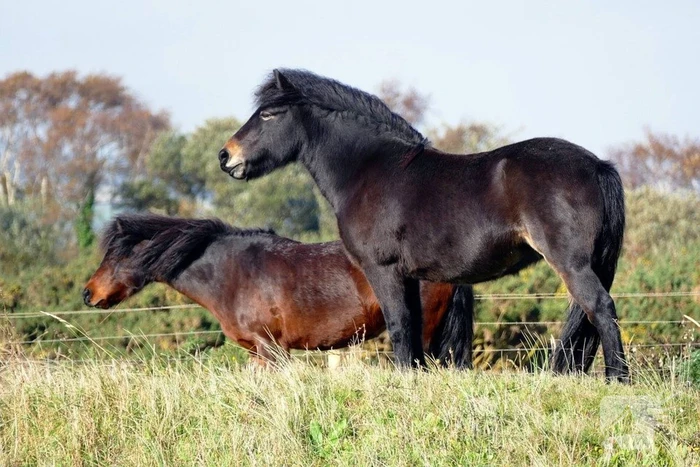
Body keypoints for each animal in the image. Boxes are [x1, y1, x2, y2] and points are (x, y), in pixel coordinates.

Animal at [217, 69, 629, 381]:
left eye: (269, 114)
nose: (226, 156)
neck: (370, 171)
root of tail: (596, 165)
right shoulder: (412, 276)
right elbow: (414, 331)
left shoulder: (383, 270)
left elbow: (399, 326)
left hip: (571, 264)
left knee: (600, 307)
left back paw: (618, 378)